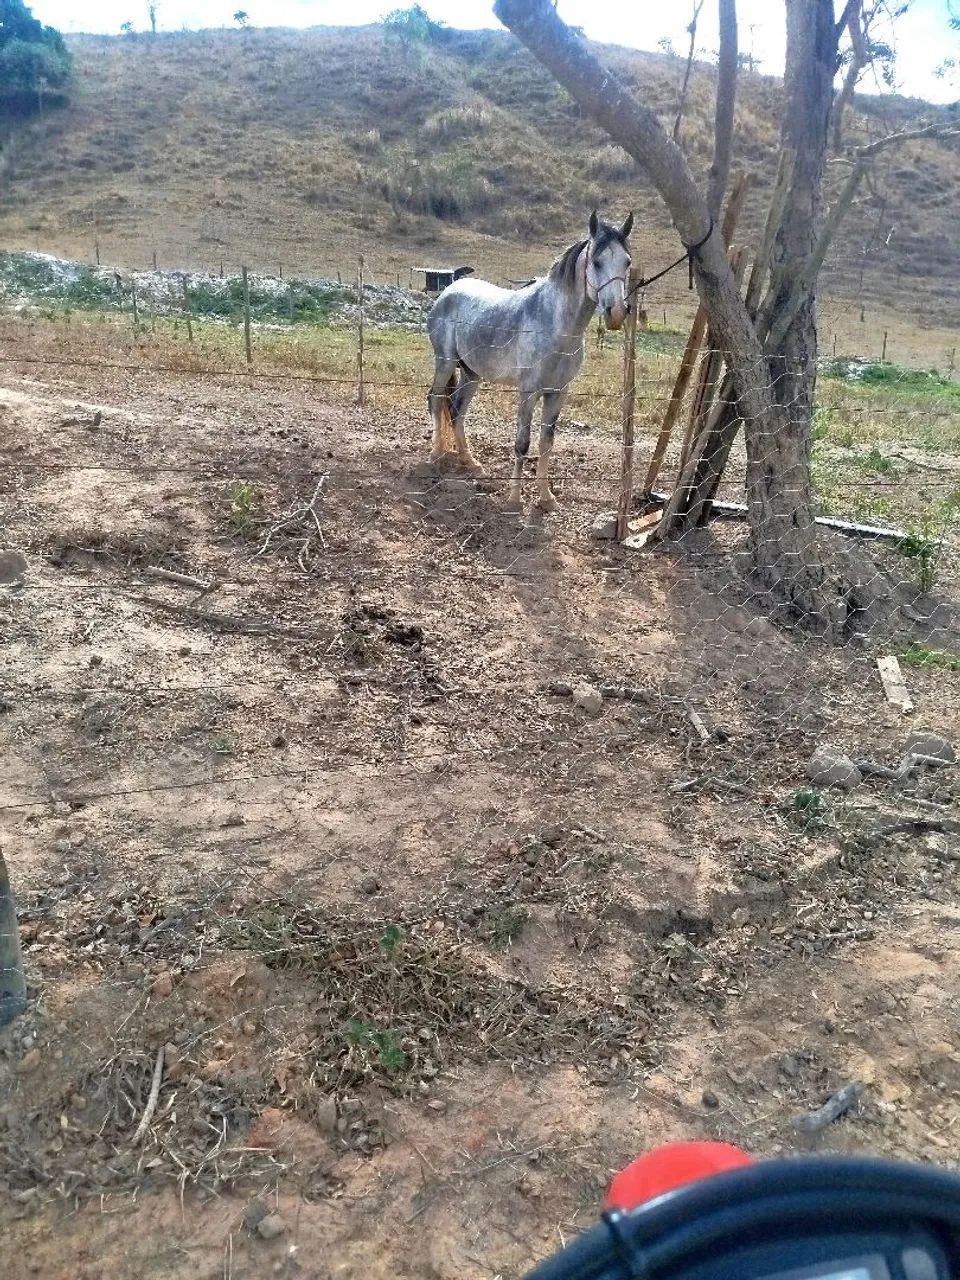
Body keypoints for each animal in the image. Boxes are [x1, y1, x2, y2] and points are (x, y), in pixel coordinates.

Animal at [425, 210, 633, 513]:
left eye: (627, 262)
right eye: (597, 261)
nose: (616, 313)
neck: (554, 326)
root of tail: (450, 289)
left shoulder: (557, 393)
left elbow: (546, 443)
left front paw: (547, 498)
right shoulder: (528, 392)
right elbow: (522, 443)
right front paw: (514, 499)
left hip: (472, 373)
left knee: (456, 410)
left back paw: (470, 462)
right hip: (445, 361)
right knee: (436, 398)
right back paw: (436, 455)